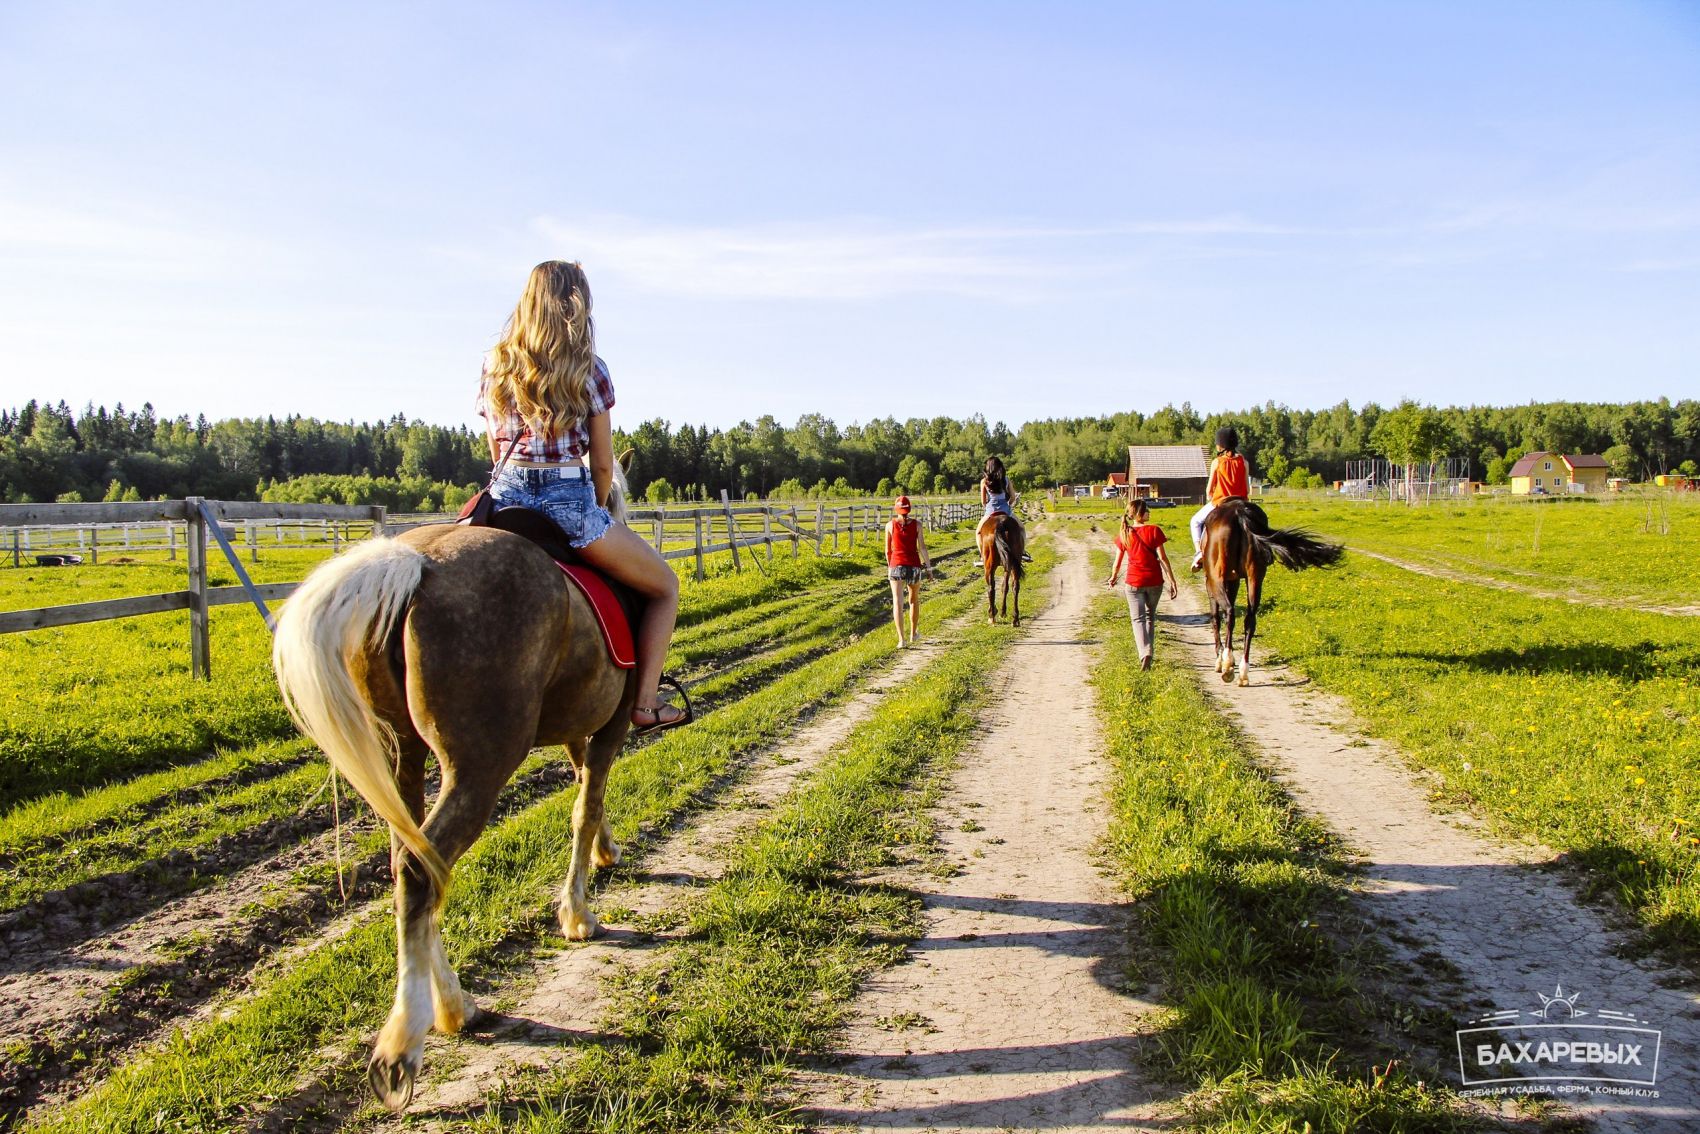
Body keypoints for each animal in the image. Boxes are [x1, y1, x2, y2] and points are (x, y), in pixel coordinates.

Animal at [272, 462, 642, 1108]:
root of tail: (416, 566)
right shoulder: (611, 721)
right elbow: (586, 804)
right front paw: (577, 914)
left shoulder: (579, 723)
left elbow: (584, 791)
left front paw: (605, 853)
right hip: (478, 765)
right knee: (424, 869)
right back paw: (405, 1043)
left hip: (403, 756)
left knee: (412, 864)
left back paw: (452, 1005)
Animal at [1196, 499, 1339, 693]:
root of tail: (1240, 513)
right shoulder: (1234, 581)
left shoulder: (1211, 583)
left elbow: (1215, 618)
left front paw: (1220, 661)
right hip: (1255, 577)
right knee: (1249, 620)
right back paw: (1243, 672)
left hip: (1216, 578)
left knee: (1230, 613)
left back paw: (1227, 666)